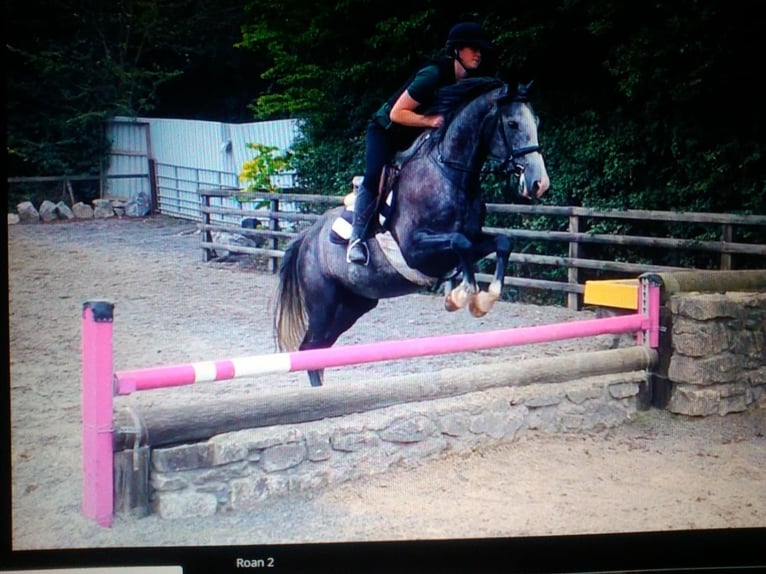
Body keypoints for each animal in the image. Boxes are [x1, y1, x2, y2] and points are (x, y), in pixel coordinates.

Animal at [272, 77, 548, 388]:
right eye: (512, 123)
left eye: (536, 121)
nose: (539, 183)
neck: (449, 174)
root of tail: (306, 238)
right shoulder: (416, 250)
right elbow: (460, 242)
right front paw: (461, 295)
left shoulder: (473, 239)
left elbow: (501, 241)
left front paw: (483, 300)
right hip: (324, 303)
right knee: (310, 347)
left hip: (353, 304)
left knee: (320, 349)